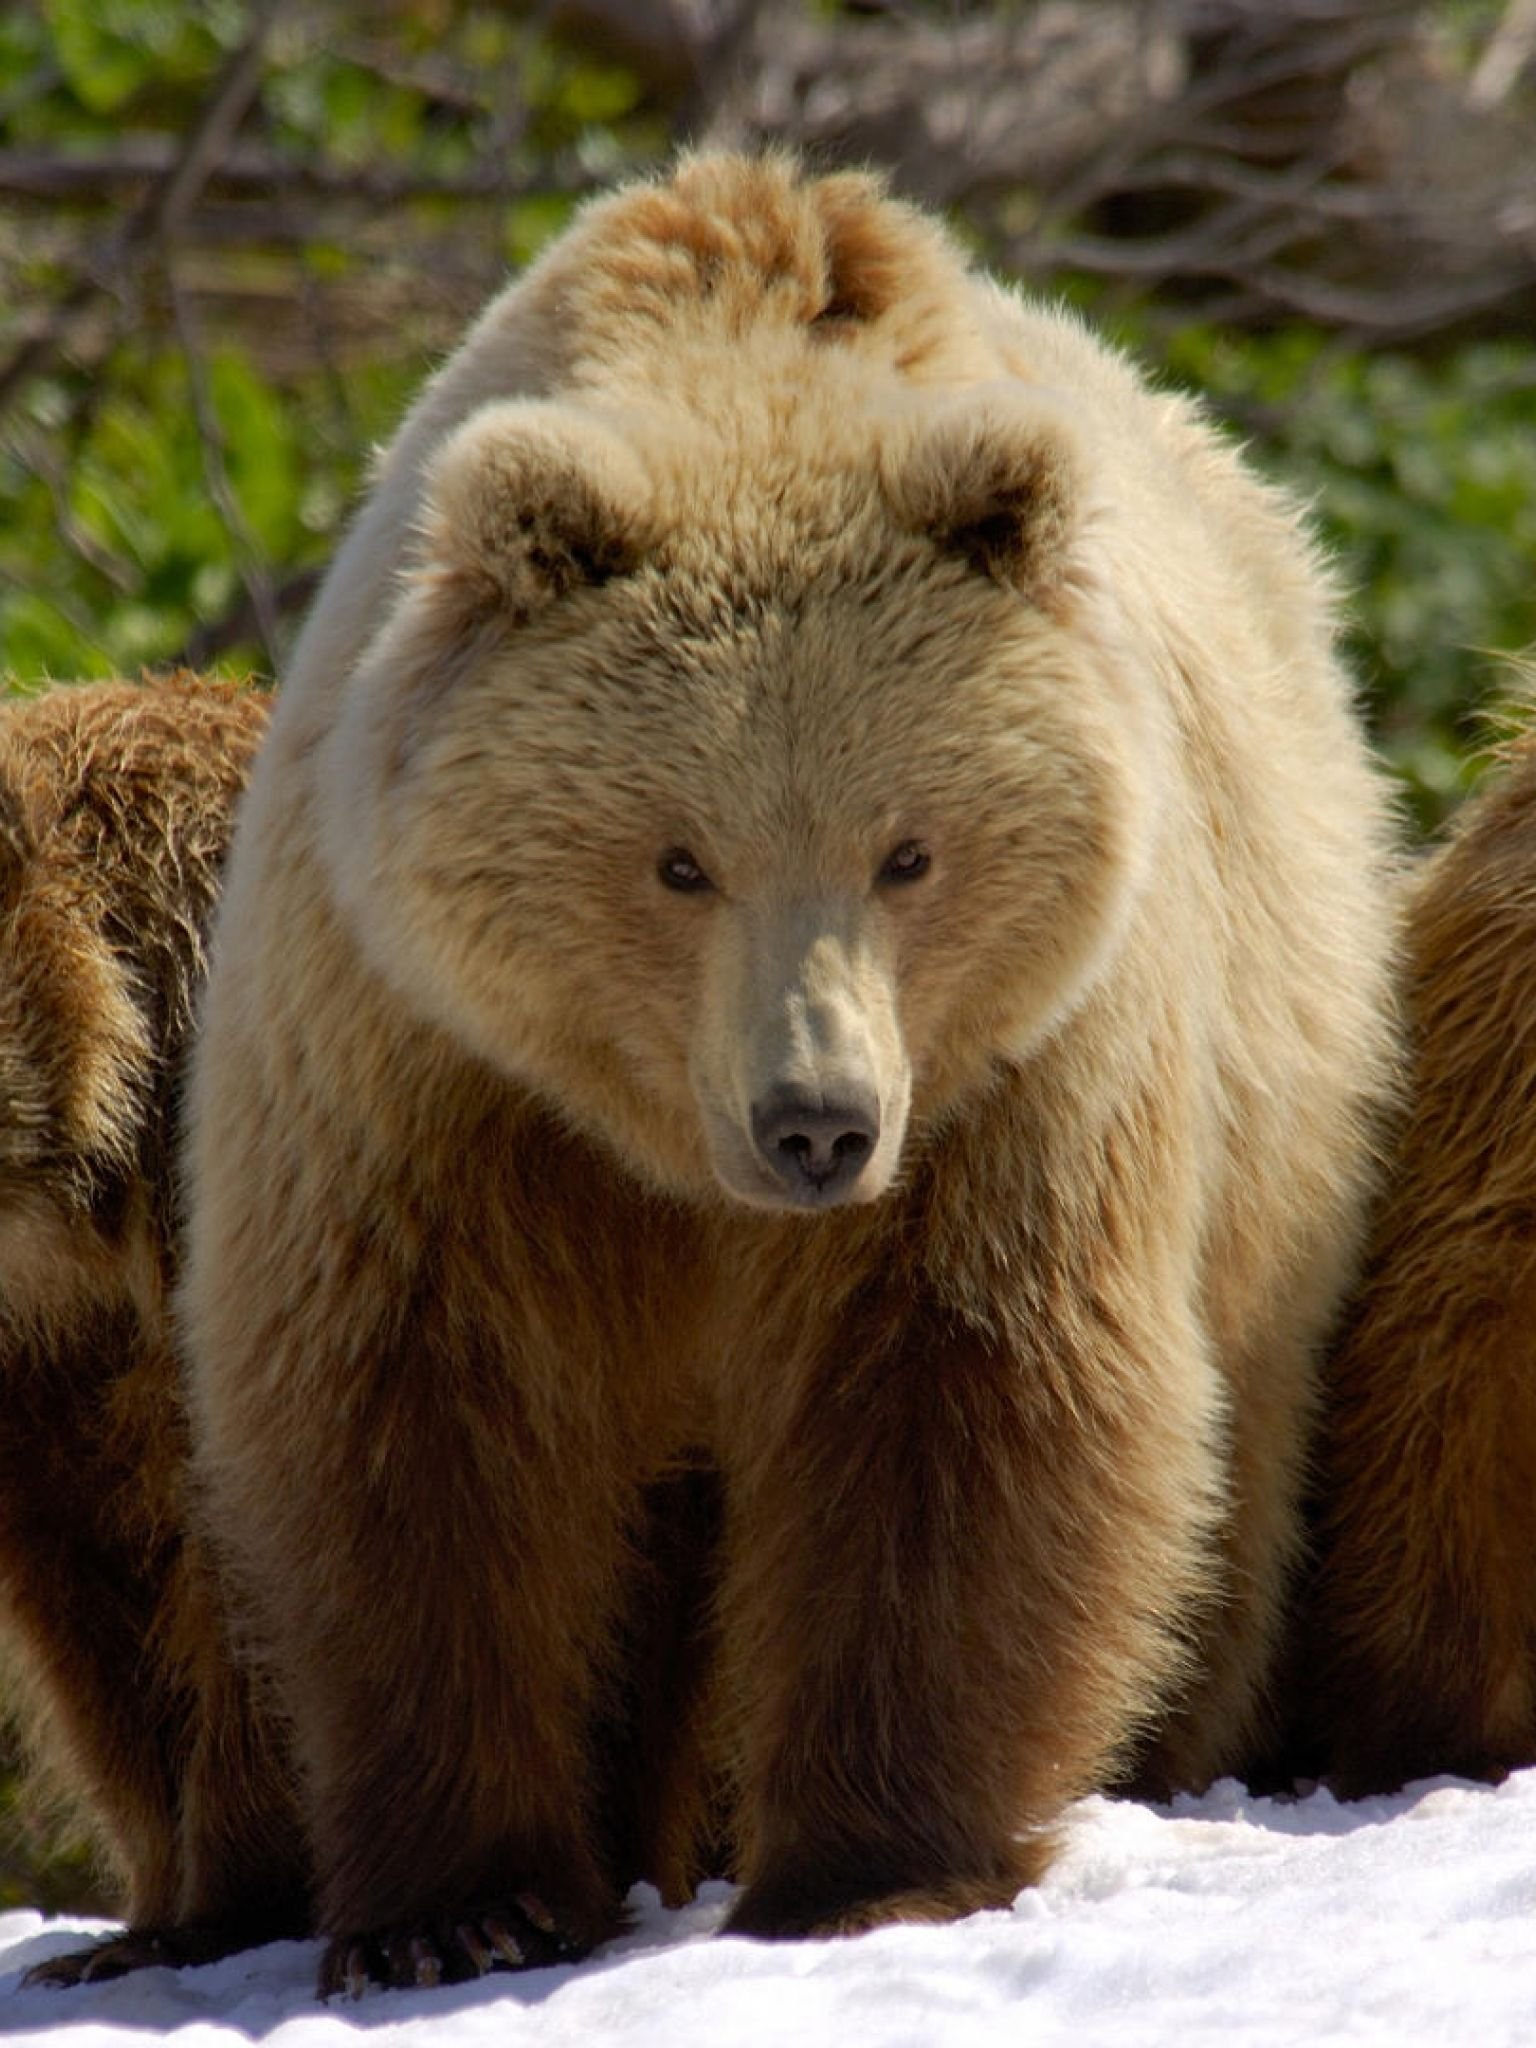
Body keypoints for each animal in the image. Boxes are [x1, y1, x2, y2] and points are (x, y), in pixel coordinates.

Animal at [174, 148, 1400, 1998]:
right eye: (678, 859)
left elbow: (961, 1400)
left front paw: (871, 1870)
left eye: (909, 849)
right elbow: (421, 1417)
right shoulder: (425, 1066)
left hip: (1278, 1111)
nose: (814, 1120)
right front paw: (458, 1907)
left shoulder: (1013, 1078)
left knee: (1225, 1480)